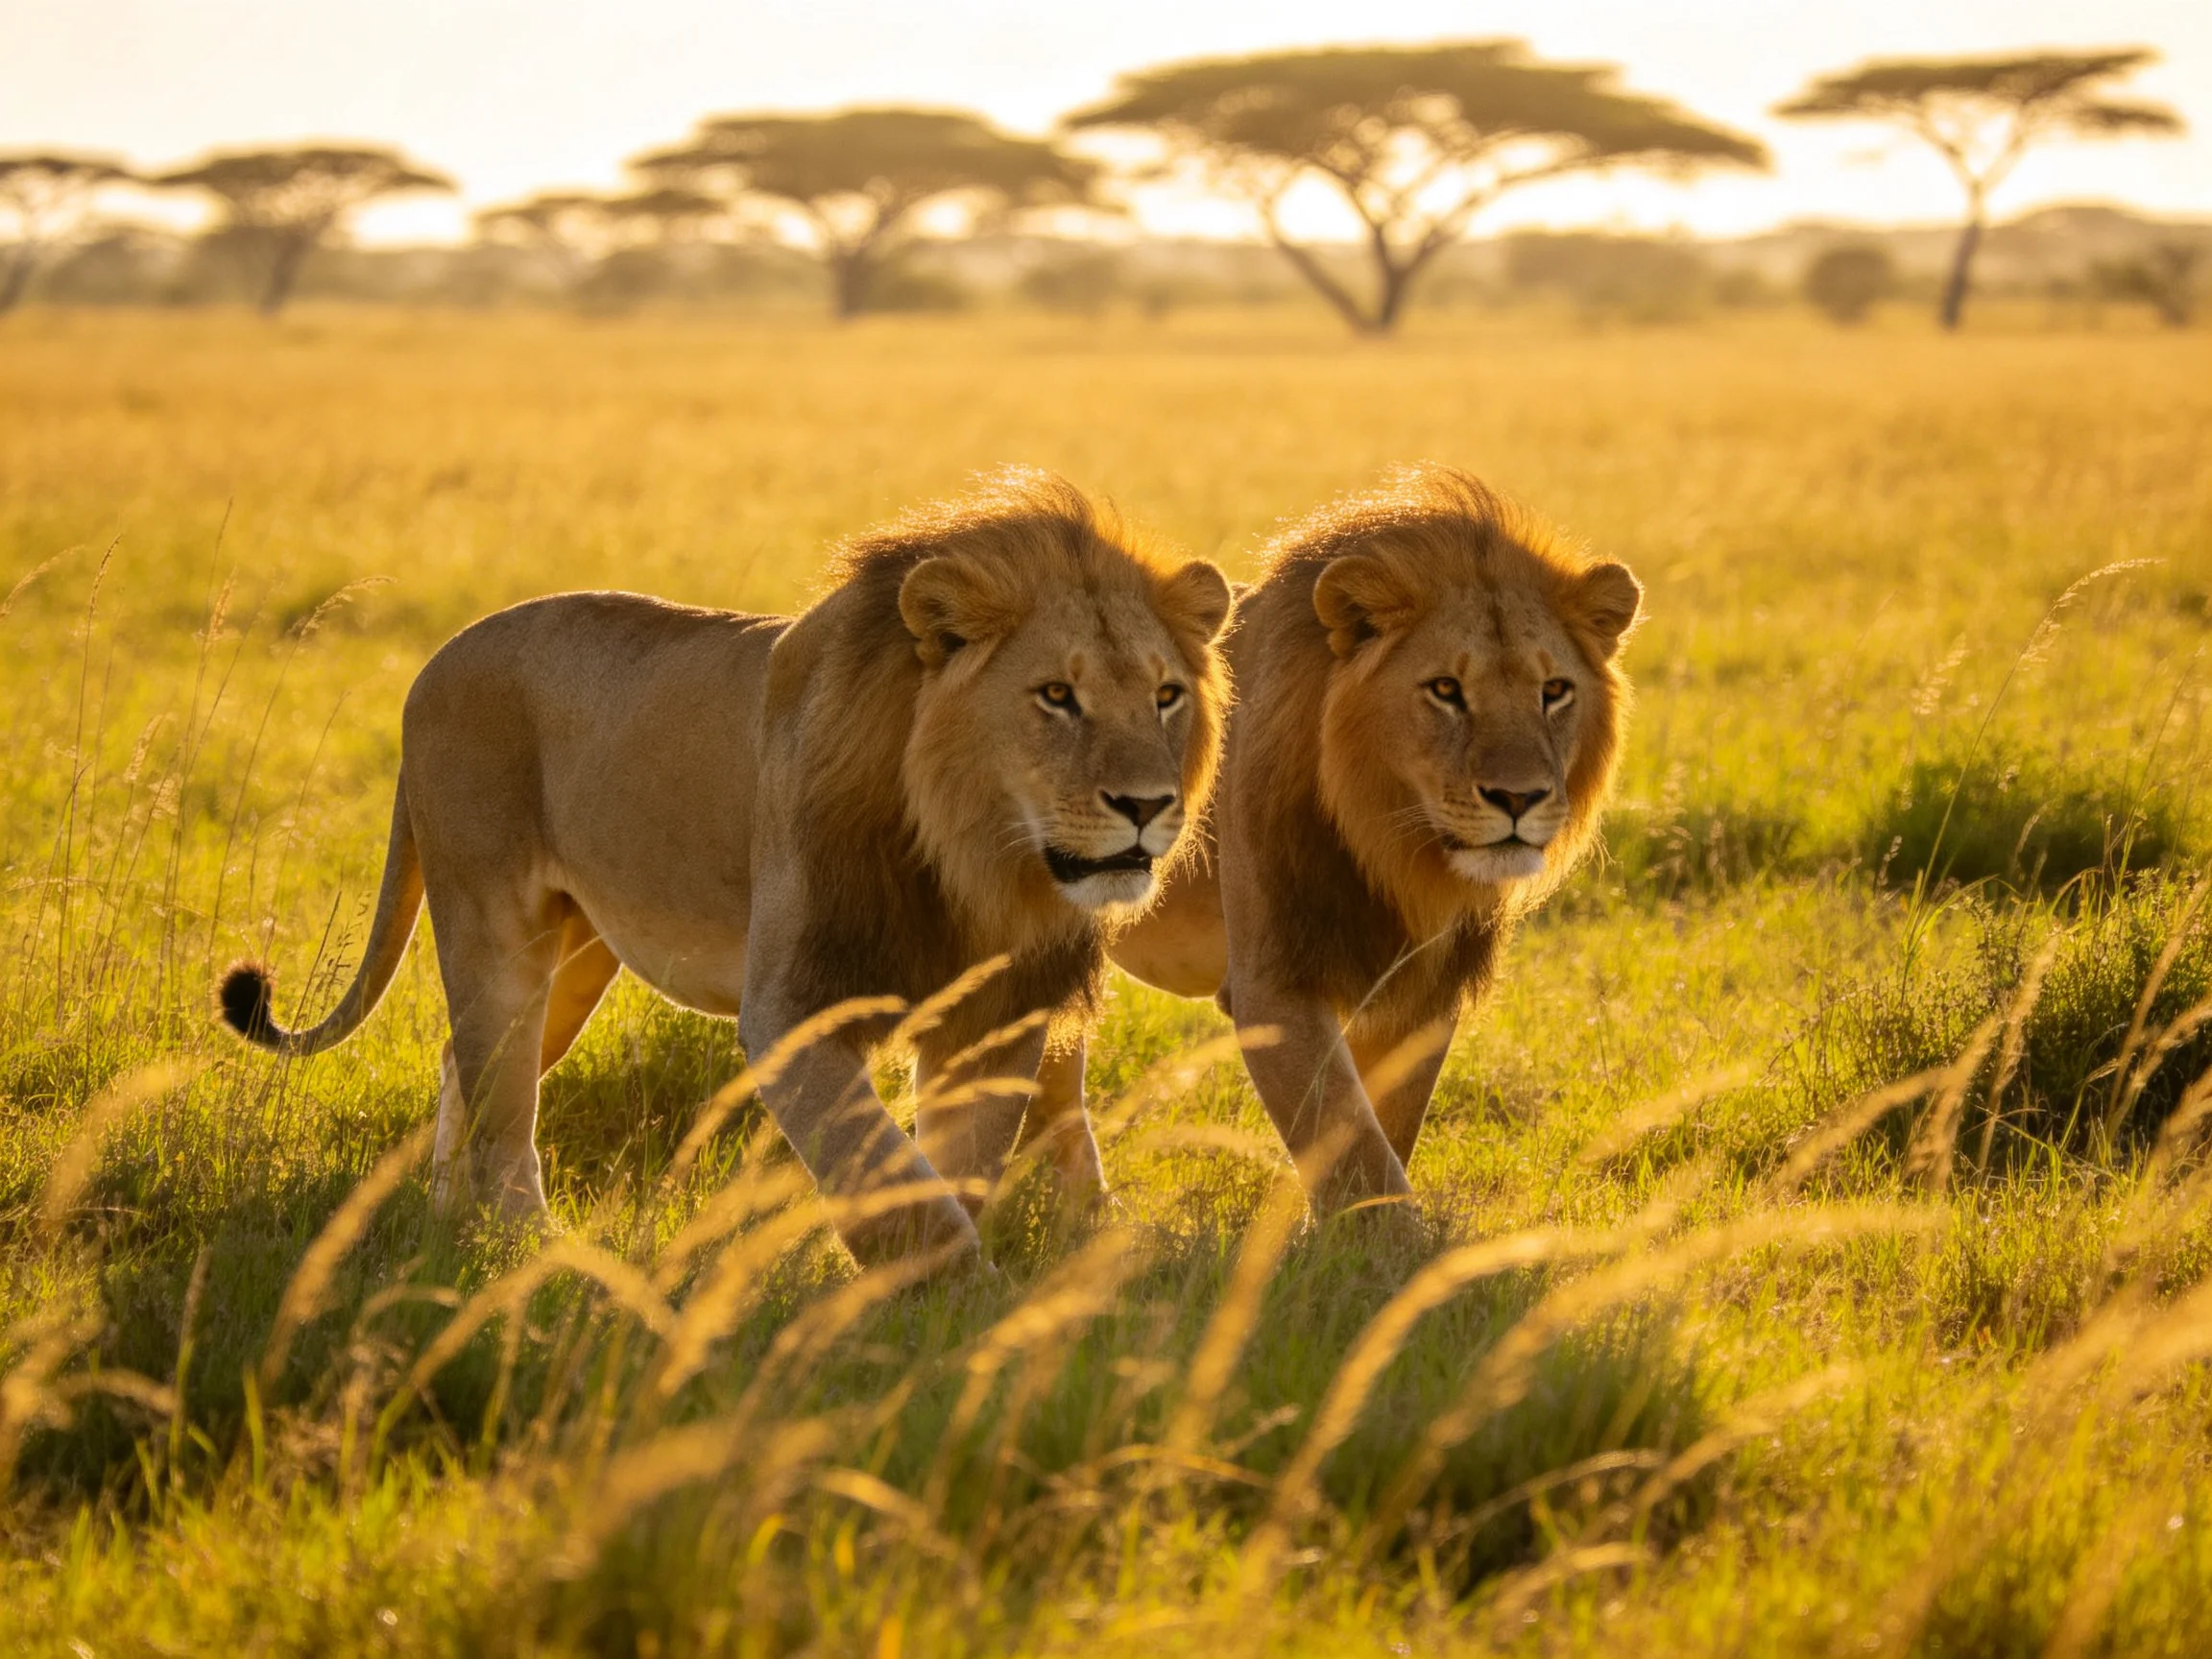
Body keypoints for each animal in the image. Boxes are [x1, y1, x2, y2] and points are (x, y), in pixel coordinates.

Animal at [219, 468, 1232, 1265]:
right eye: (1056, 696)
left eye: (1165, 695)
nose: (1146, 807)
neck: (975, 860)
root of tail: (434, 663)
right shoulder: (792, 1003)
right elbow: (883, 1168)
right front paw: (953, 1295)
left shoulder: (996, 1008)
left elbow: (961, 1164)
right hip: (492, 924)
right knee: (501, 1108)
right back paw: (526, 1252)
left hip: (577, 952)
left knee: (464, 1067)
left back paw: (446, 1220)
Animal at [1020, 466, 1640, 1214]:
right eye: (1445, 689)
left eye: (1555, 690)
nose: (1518, 798)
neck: (1396, 853)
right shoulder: (1273, 984)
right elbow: (1352, 1142)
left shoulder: (1421, 993)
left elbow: (1383, 1128)